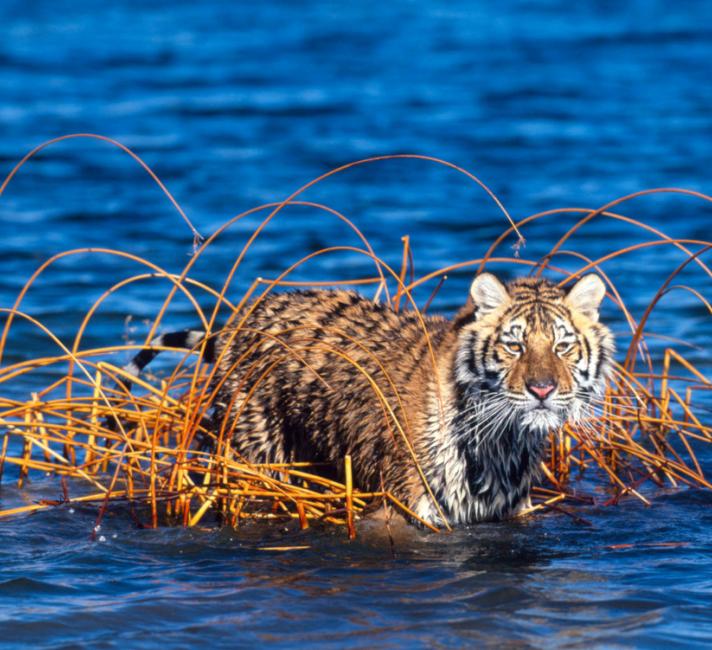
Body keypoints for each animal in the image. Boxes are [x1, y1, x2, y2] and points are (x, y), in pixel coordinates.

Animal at [115, 272, 612, 528]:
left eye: (563, 346)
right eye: (514, 345)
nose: (542, 389)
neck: (502, 441)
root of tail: (243, 320)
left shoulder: (512, 513)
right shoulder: (411, 506)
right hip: (254, 457)